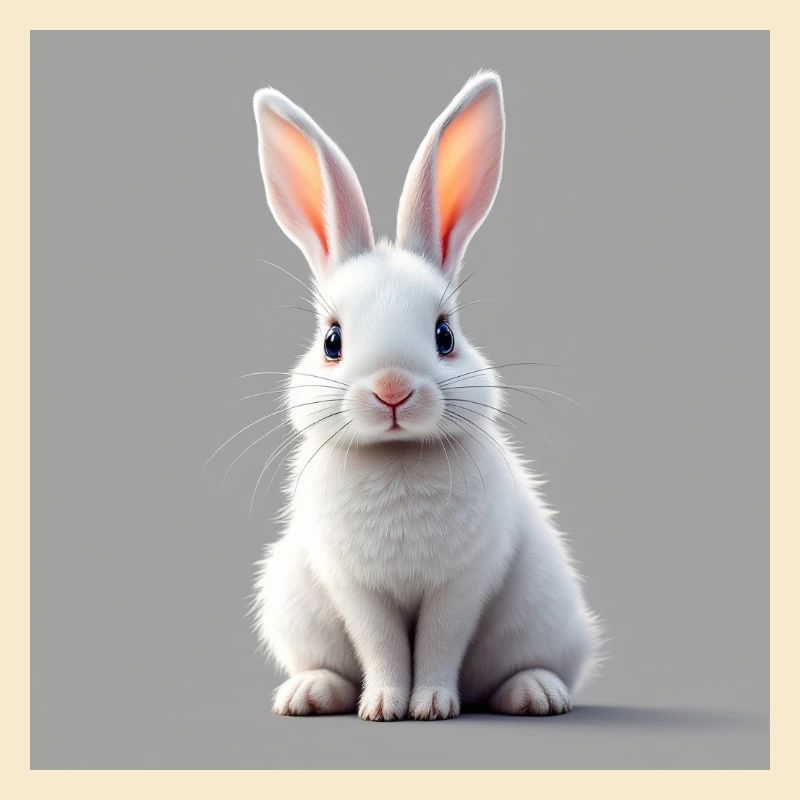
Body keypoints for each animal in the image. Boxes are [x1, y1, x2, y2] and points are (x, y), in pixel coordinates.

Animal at [247, 71, 600, 721]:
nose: (392, 390)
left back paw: (535, 693)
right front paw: (385, 706)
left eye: (445, 335)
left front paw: (431, 705)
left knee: (518, 668)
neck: (398, 458)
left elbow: (439, 642)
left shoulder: (461, 585)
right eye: (332, 340)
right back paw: (309, 693)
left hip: (545, 612)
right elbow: (382, 645)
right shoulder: (356, 590)